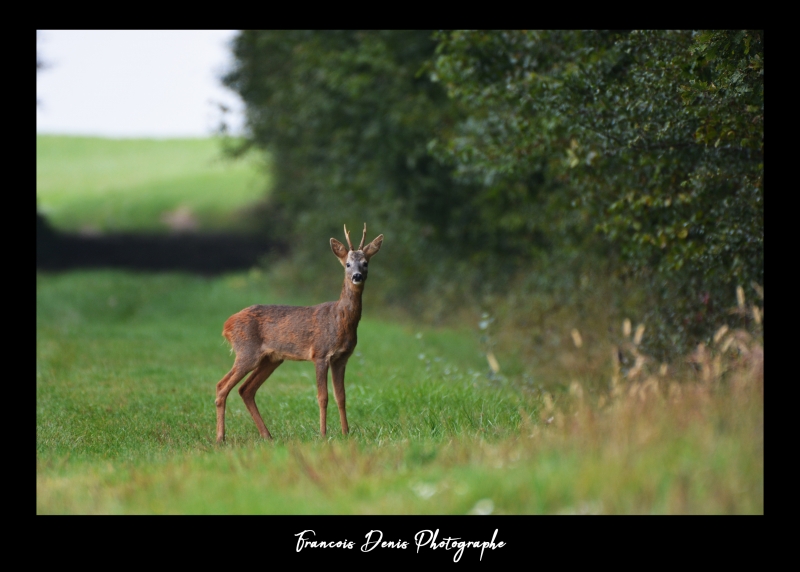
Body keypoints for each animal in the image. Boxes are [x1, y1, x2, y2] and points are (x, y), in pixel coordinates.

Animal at [216, 223, 384, 442]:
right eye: (347, 264)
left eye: (365, 263)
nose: (357, 276)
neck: (340, 320)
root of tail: (226, 325)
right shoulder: (320, 353)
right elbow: (323, 397)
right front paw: (323, 434)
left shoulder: (342, 358)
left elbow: (341, 396)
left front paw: (346, 433)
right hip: (247, 351)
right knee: (222, 386)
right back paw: (221, 438)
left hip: (271, 359)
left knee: (246, 389)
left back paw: (267, 435)